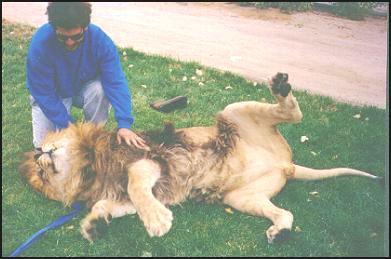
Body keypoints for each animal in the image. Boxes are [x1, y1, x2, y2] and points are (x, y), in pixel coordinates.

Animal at [19, 72, 382, 244]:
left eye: (41, 166)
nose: (39, 153)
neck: (89, 168)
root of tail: (287, 165)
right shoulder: (121, 195)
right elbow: (108, 206)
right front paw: (94, 225)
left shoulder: (147, 161)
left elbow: (137, 186)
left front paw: (157, 221)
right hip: (242, 198)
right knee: (285, 212)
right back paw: (279, 232)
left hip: (234, 112)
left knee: (292, 113)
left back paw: (280, 86)